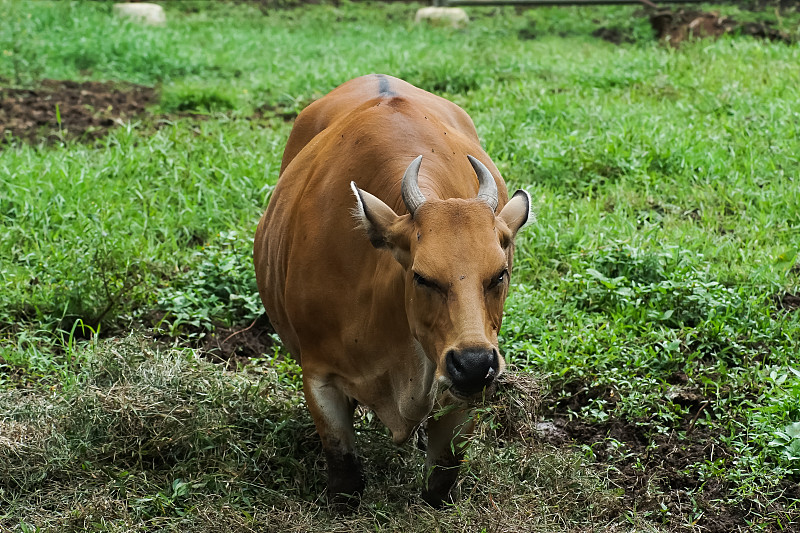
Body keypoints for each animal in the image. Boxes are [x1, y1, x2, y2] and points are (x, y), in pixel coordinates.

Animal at [256, 72, 532, 504]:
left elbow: (441, 480)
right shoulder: (318, 374)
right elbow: (345, 476)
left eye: (499, 274)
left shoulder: (461, 395)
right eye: (421, 276)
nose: (473, 363)